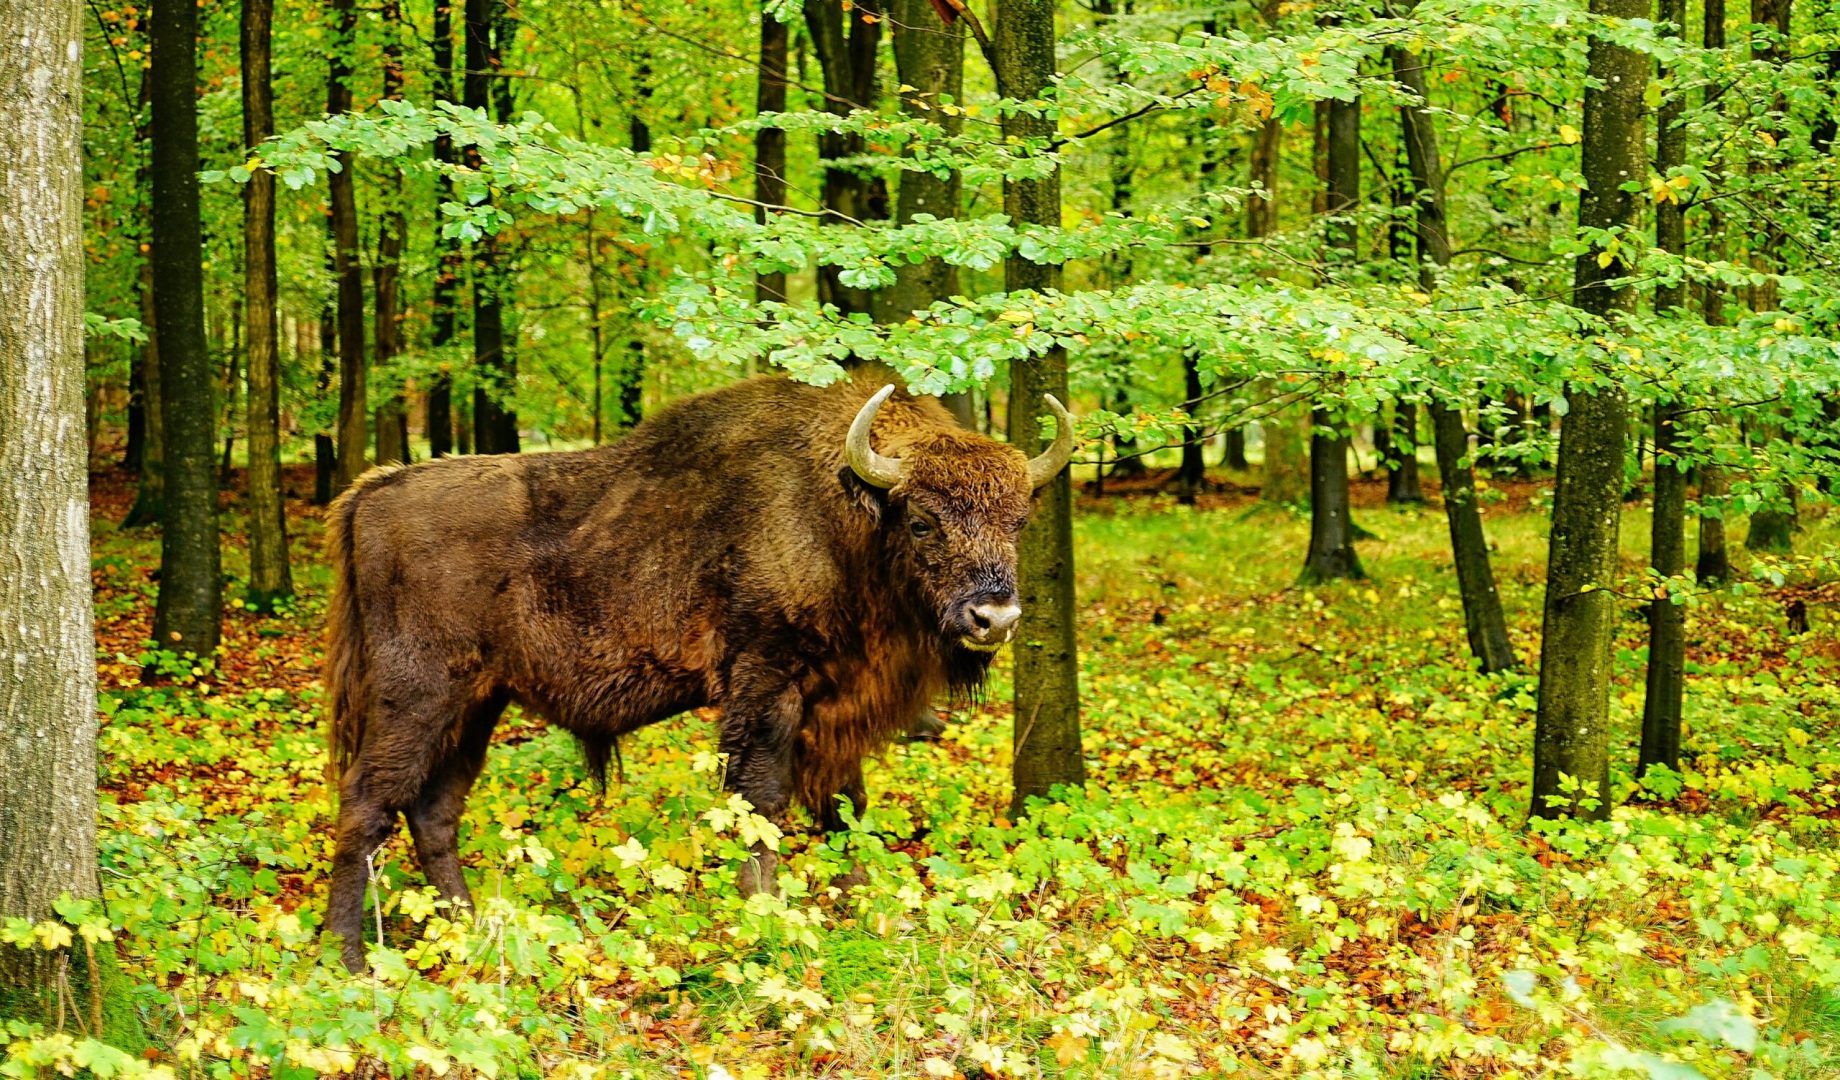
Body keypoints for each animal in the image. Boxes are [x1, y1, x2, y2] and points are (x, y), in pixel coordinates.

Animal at [322, 373, 1073, 968]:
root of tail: (373, 492)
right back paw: (347, 956)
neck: (839, 513)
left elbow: (845, 804)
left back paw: (469, 926)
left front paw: (861, 902)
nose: (994, 617)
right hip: (417, 695)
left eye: (1018, 520)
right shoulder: (767, 684)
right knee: (367, 801)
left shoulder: (834, 709)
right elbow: (760, 800)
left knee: (433, 810)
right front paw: (766, 913)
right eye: (921, 521)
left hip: (477, 704)